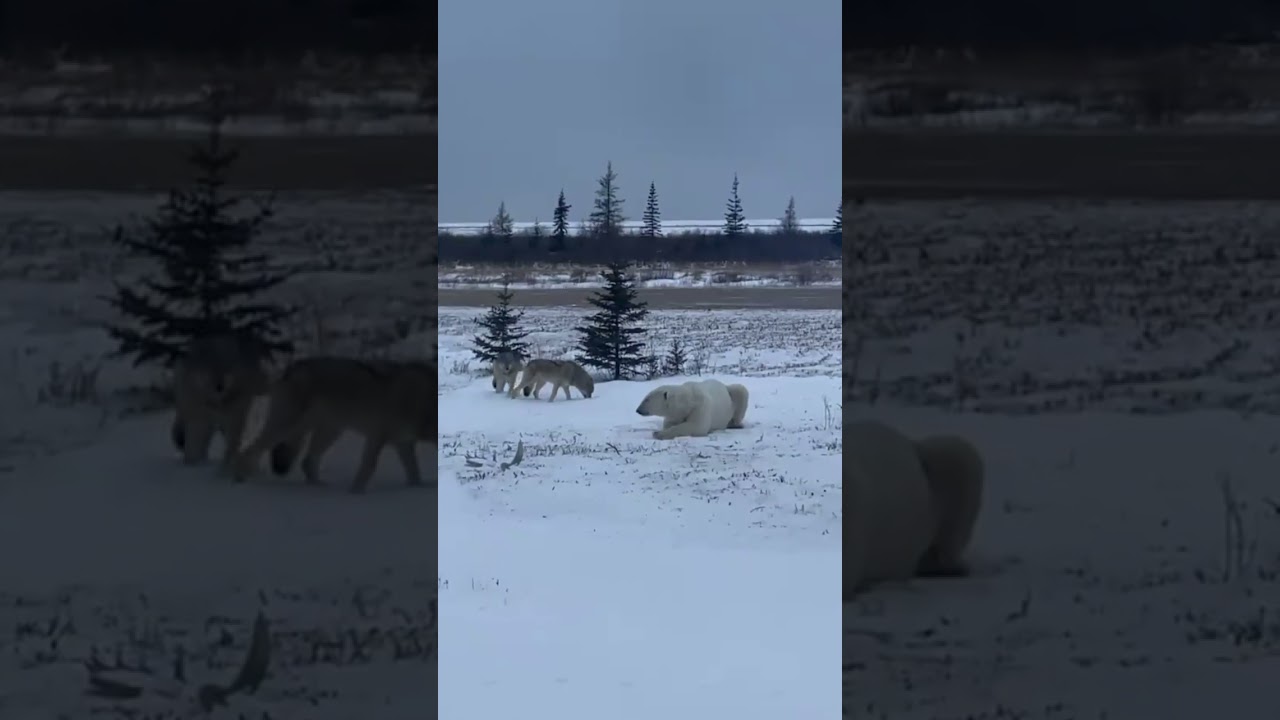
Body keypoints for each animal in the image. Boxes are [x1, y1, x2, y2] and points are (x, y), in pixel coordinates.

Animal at [171, 333, 272, 472]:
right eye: (208, 369)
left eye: (226, 369)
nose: (220, 386)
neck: (215, 402)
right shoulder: (198, 420)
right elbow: (193, 447)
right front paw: (191, 466)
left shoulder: (233, 420)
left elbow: (232, 445)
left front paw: (227, 465)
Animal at [232, 356, 435, 493]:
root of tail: (291, 368)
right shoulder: (377, 437)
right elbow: (368, 467)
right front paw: (355, 494)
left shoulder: (404, 443)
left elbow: (414, 473)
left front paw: (418, 489)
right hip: (287, 426)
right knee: (249, 450)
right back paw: (244, 480)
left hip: (329, 431)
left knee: (307, 461)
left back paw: (319, 487)